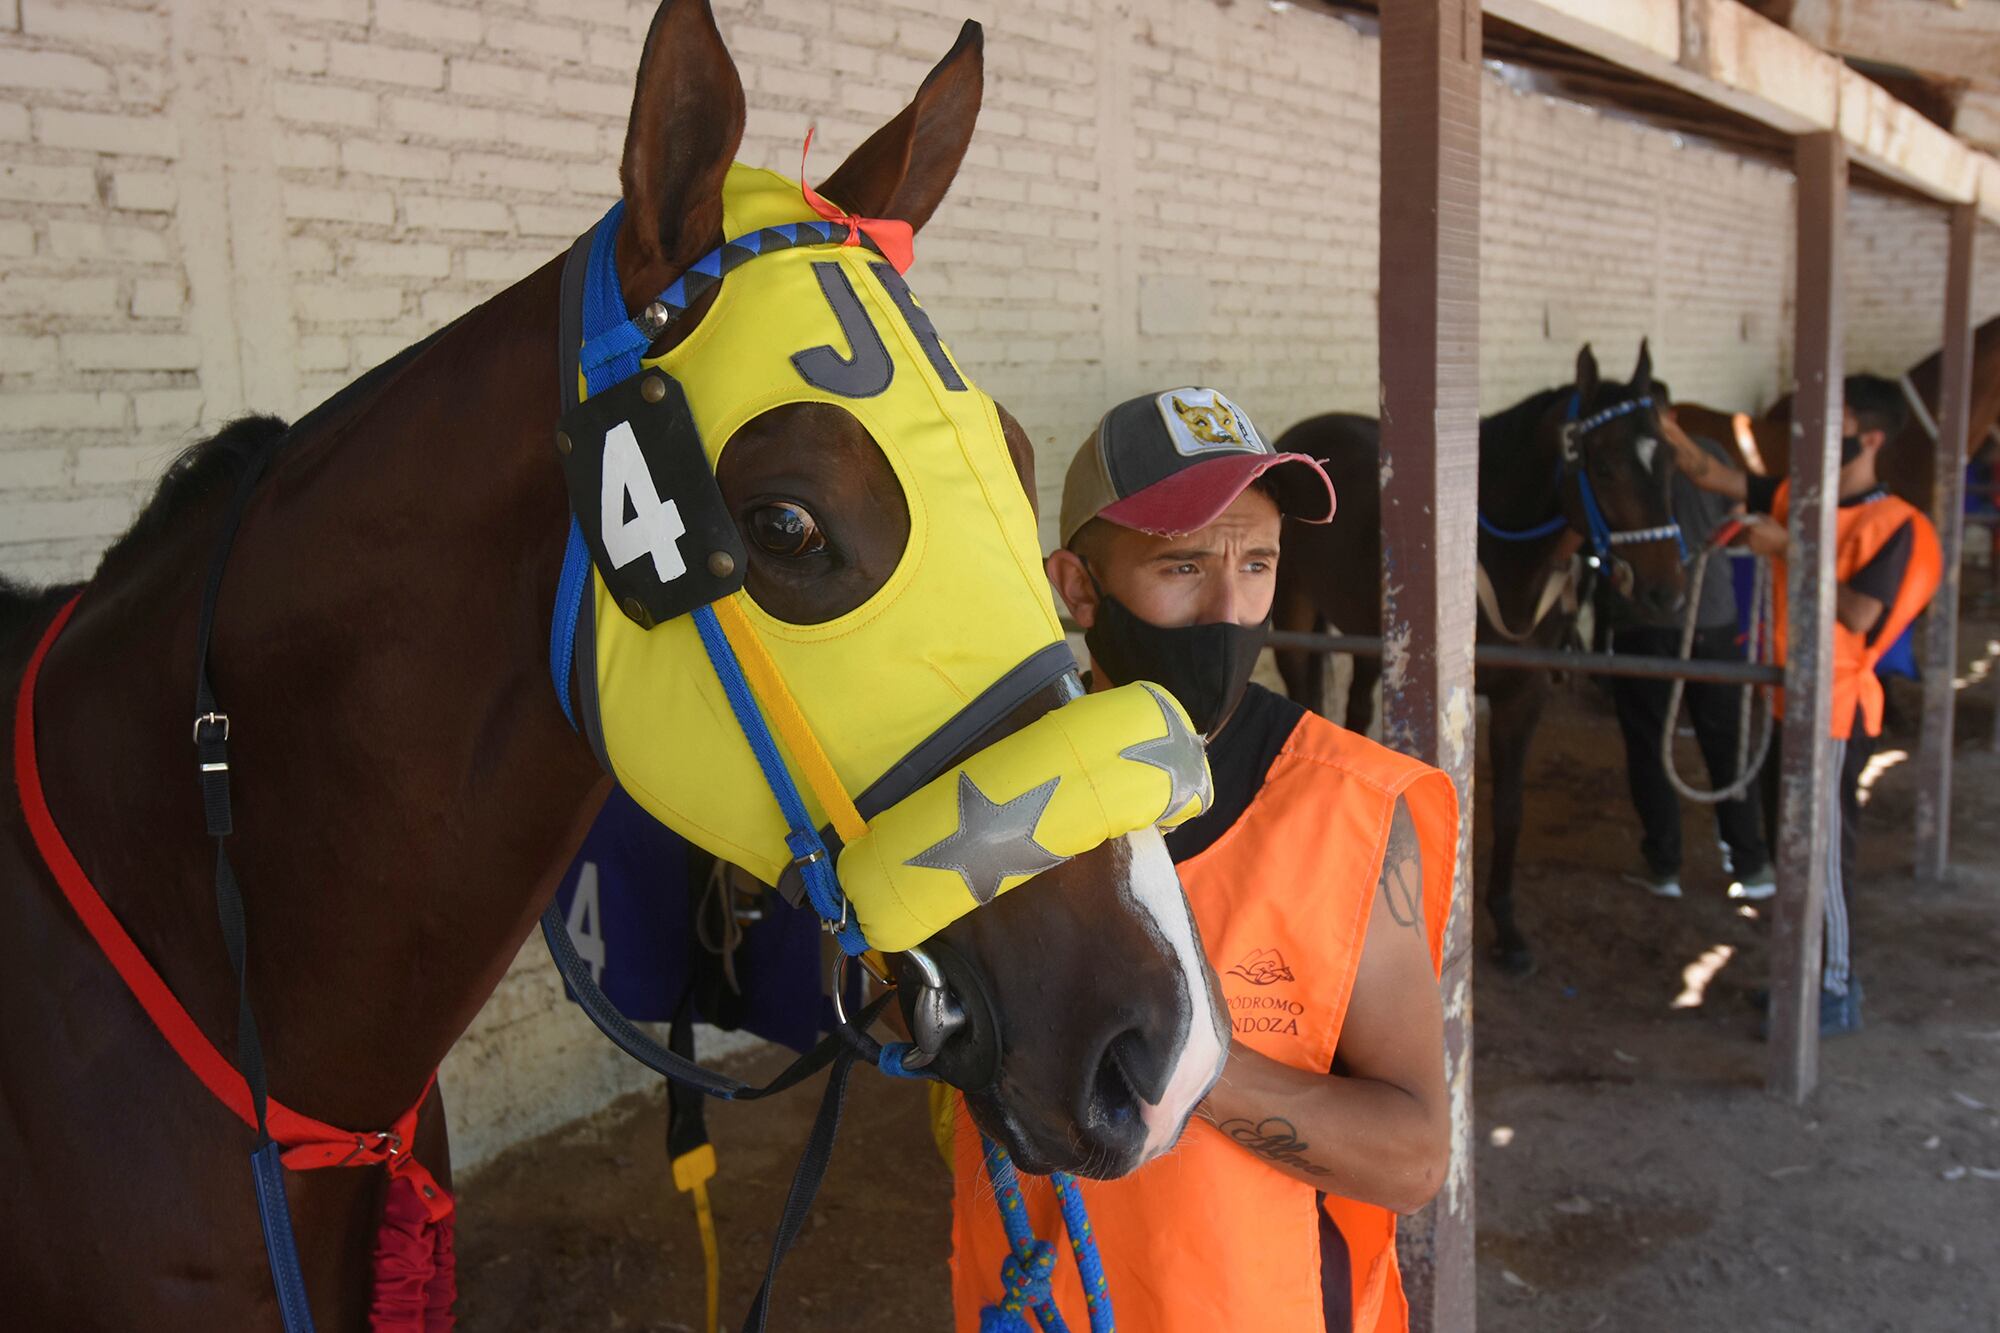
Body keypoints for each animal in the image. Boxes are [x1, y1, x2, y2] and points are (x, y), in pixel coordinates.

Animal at [1272, 340, 1680, 964]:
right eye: (1606, 467)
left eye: (1671, 463)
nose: (1665, 592)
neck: (1495, 559)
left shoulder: (1523, 695)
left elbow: (1508, 809)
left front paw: (1507, 926)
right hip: (1296, 621)